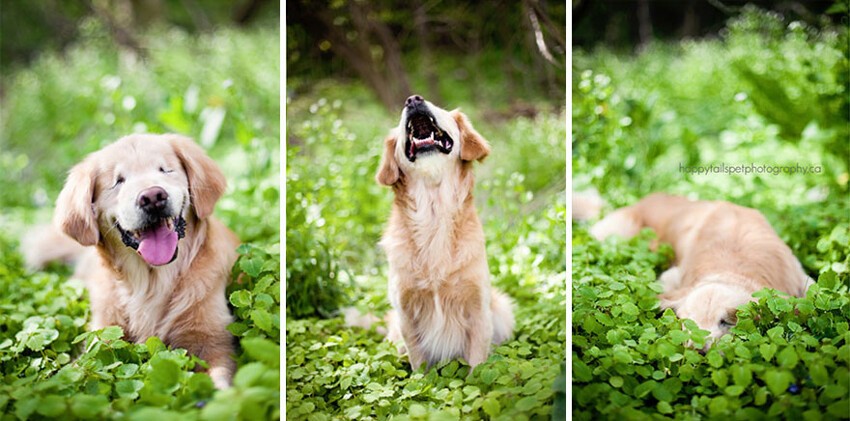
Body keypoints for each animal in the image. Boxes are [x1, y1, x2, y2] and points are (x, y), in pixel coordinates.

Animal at [22, 134, 238, 388]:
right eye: (118, 182)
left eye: (165, 169)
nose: (153, 197)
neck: (152, 281)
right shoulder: (102, 337)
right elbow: (78, 370)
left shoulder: (213, 340)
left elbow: (219, 378)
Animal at [372, 94, 512, 368]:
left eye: (439, 108)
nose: (413, 99)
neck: (434, 210)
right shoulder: (406, 314)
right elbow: (419, 364)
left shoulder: (479, 310)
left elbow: (477, 365)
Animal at [588, 193, 812, 348]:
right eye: (687, 322)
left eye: (727, 322)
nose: (699, 350)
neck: (732, 267)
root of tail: (643, 200)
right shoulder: (672, 276)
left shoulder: (799, 275)